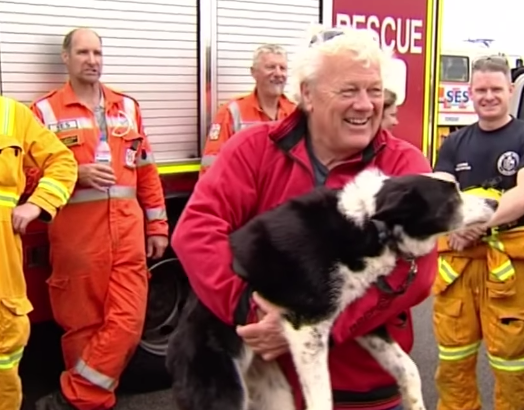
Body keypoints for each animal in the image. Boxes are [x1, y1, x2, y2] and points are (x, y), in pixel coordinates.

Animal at [166, 168, 498, 410]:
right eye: (453, 196)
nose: (495, 202)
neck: (372, 225)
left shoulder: (364, 324)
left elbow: (408, 369)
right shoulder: (306, 327)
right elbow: (322, 397)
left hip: (276, 394)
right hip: (224, 390)